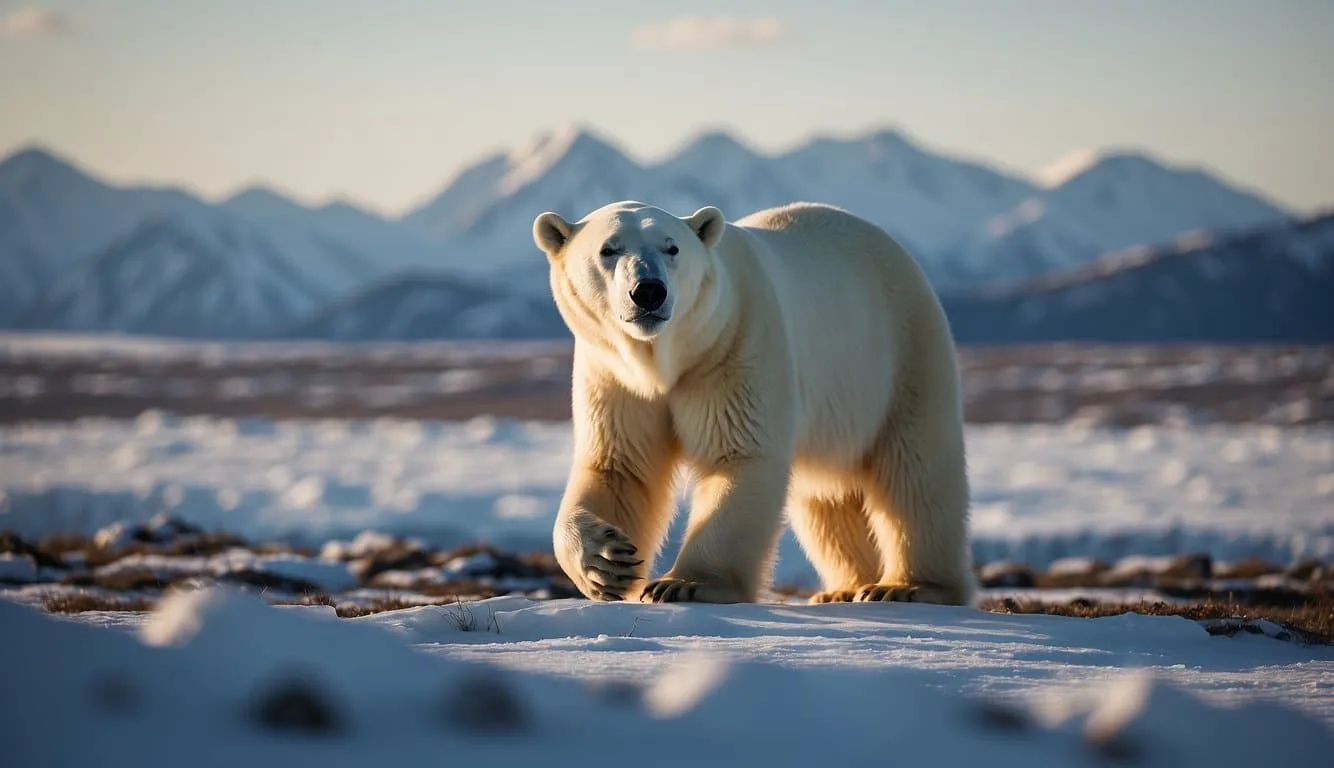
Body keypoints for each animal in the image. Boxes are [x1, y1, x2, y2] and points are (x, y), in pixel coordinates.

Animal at [531, 200, 975, 607]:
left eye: (672, 247)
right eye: (608, 249)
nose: (649, 292)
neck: (668, 361)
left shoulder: (737, 344)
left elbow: (738, 454)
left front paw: (685, 584)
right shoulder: (614, 377)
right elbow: (618, 465)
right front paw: (606, 563)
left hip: (902, 352)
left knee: (917, 470)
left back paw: (907, 587)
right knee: (825, 499)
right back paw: (843, 589)